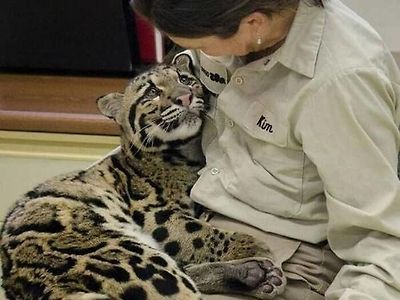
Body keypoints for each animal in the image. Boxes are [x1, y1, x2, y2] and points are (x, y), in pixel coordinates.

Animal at [1, 55, 286, 298]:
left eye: (185, 79)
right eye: (152, 92)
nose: (186, 96)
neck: (184, 151)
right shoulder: (155, 212)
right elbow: (199, 233)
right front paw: (249, 244)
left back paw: (254, 275)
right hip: (130, 256)